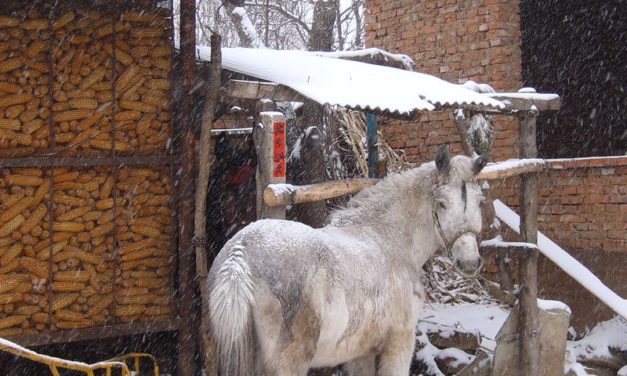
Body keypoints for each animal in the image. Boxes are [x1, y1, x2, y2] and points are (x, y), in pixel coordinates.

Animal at [209, 145, 488, 376]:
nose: (469, 262)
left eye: (479, 201)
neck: (388, 237)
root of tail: (240, 255)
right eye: (441, 203)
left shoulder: (360, 353)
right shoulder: (400, 341)